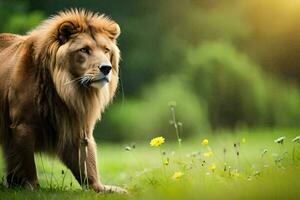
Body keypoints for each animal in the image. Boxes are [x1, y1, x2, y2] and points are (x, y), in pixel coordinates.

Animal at [0, 8, 125, 193]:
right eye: (84, 50)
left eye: (106, 50)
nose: (106, 68)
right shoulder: (23, 125)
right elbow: (26, 162)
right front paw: (31, 187)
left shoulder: (77, 125)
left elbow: (87, 163)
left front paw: (103, 188)